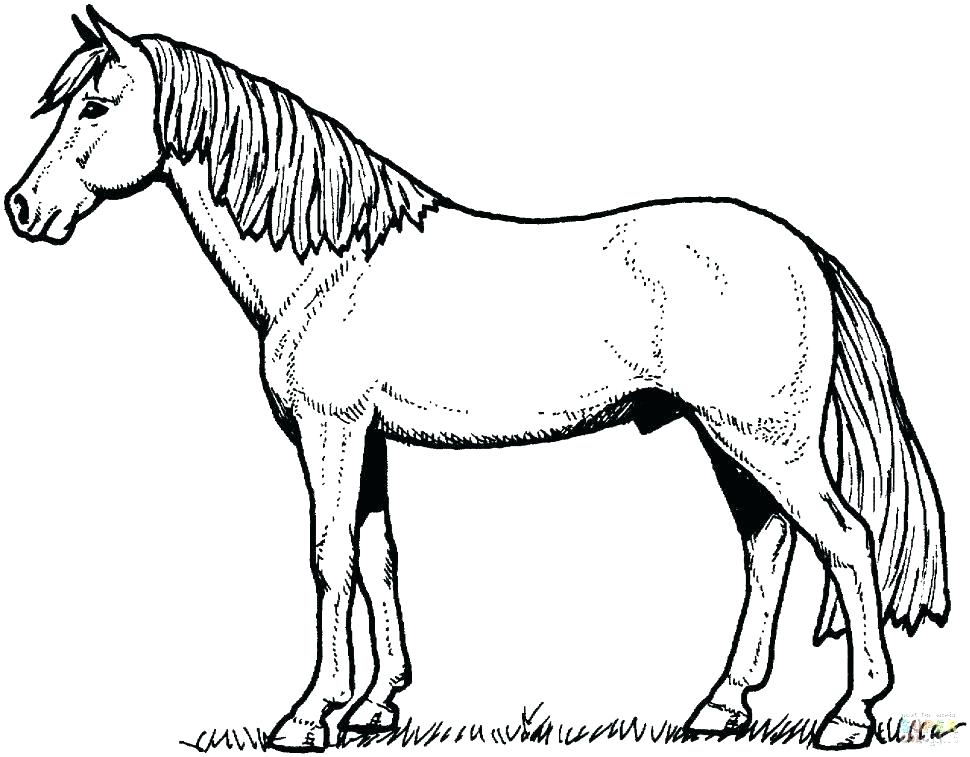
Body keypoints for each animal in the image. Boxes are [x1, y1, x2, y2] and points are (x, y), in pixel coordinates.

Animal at [6, 8, 949, 752]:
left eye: (96, 104)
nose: (23, 207)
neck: (327, 265)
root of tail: (802, 251)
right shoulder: (369, 438)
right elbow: (378, 557)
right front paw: (373, 706)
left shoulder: (331, 431)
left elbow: (329, 558)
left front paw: (308, 715)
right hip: (733, 441)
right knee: (769, 548)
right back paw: (720, 706)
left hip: (764, 438)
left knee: (846, 540)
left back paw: (851, 713)